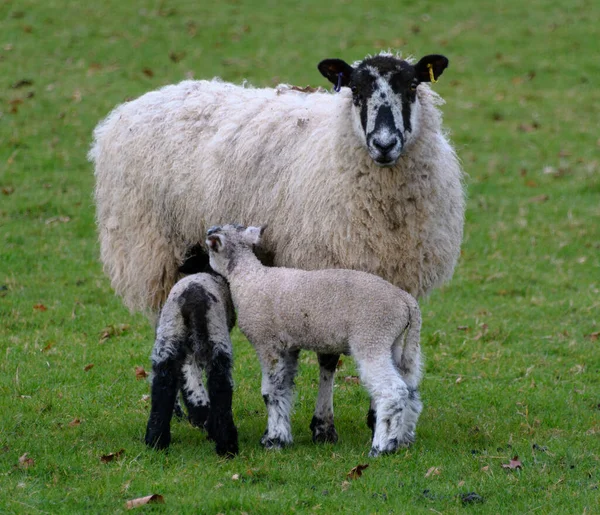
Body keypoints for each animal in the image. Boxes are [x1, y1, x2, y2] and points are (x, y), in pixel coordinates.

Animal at [144, 270, 238, 456]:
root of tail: (191, 299)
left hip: (169, 337)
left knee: (163, 386)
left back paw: (156, 441)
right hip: (216, 337)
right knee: (221, 386)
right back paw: (226, 444)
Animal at [205, 224, 422, 458]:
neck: (248, 278)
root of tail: (405, 300)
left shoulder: (267, 342)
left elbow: (270, 392)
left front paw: (273, 441)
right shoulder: (288, 347)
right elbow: (284, 388)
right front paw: (280, 436)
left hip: (373, 335)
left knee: (393, 390)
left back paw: (381, 447)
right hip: (395, 342)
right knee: (410, 389)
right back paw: (404, 440)